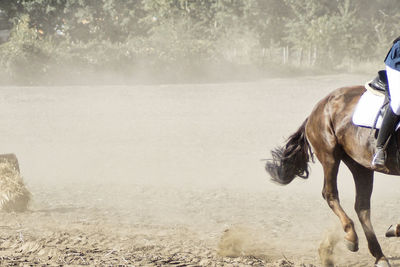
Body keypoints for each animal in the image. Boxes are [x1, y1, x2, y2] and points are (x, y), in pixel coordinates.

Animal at [266, 86, 396, 267]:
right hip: (330, 155)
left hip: (360, 164)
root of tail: (316, 108)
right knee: (330, 193)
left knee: (362, 206)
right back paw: (351, 237)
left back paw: (379, 256)